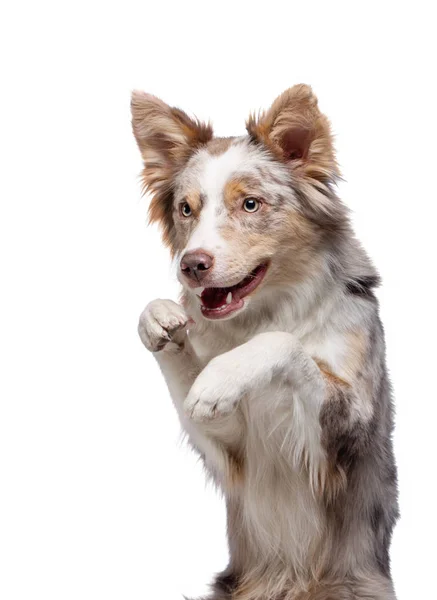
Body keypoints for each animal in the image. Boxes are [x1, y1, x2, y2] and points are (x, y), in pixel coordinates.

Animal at [130, 85, 398, 600]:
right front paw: (161, 320)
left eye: (250, 205)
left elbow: (283, 344)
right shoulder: (233, 441)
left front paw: (220, 379)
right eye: (186, 209)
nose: (191, 266)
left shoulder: (346, 430)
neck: (271, 308)